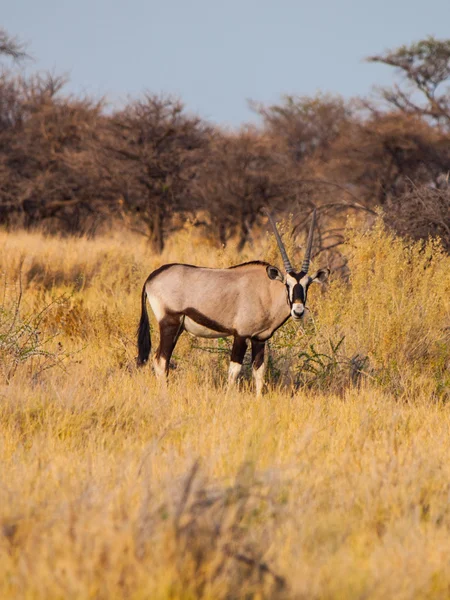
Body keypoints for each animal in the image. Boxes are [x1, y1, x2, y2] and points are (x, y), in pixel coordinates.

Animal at [135, 209, 328, 396]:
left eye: (307, 284)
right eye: (287, 284)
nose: (298, 311)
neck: (266, 291)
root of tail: (152, 277)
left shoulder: (259, 338)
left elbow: (259, 371)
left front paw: (258, 399)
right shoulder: (240, 335)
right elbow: (234, 370)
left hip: (178, 328)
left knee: (162, 360)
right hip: (170, 324)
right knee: (160, 360)